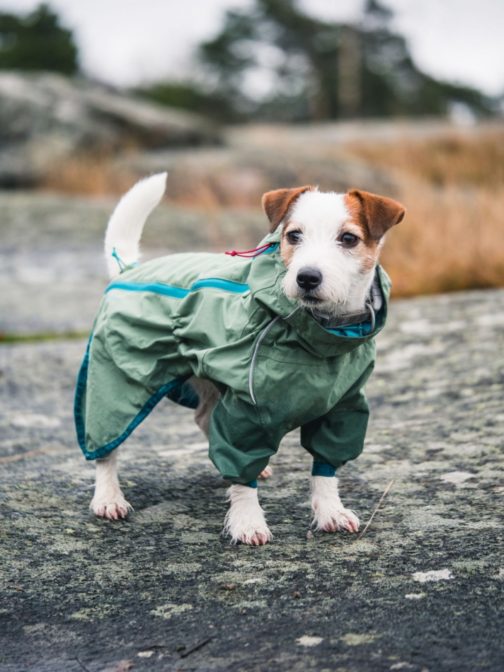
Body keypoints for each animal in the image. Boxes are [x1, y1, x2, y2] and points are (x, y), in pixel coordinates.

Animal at [76, 171, 406, 544]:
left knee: (205, 418)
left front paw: (330, 511)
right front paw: (248, 521)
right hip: (117, 377)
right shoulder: (246, 412)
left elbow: (325, 471)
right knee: (105, 442)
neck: (320, 336)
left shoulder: (342, 409)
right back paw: (108, 497)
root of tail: (128, 269)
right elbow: (241, 472)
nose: (307, 277)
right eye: (293, 235)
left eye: (348, 238)